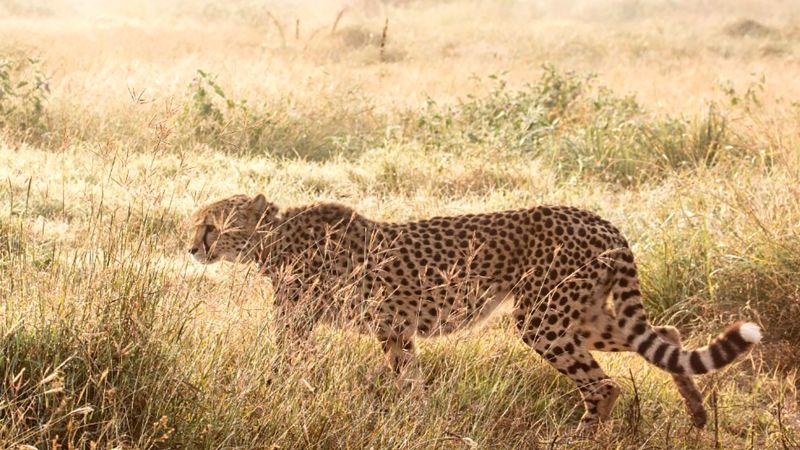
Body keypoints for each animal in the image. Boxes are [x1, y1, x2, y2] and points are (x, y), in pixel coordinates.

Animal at [188, 194, 762, 432]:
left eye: (212, 226)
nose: (192, 247)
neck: (272, 238)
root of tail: (597, 219)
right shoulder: (394, 331)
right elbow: (411, 383)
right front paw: (420, 422)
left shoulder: (300, 324)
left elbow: (284, 367)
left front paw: (266, 396)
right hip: (580, 315)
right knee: (664, 332)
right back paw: (697, 415)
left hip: (543, 319)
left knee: (604, 385)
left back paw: (577, 438)